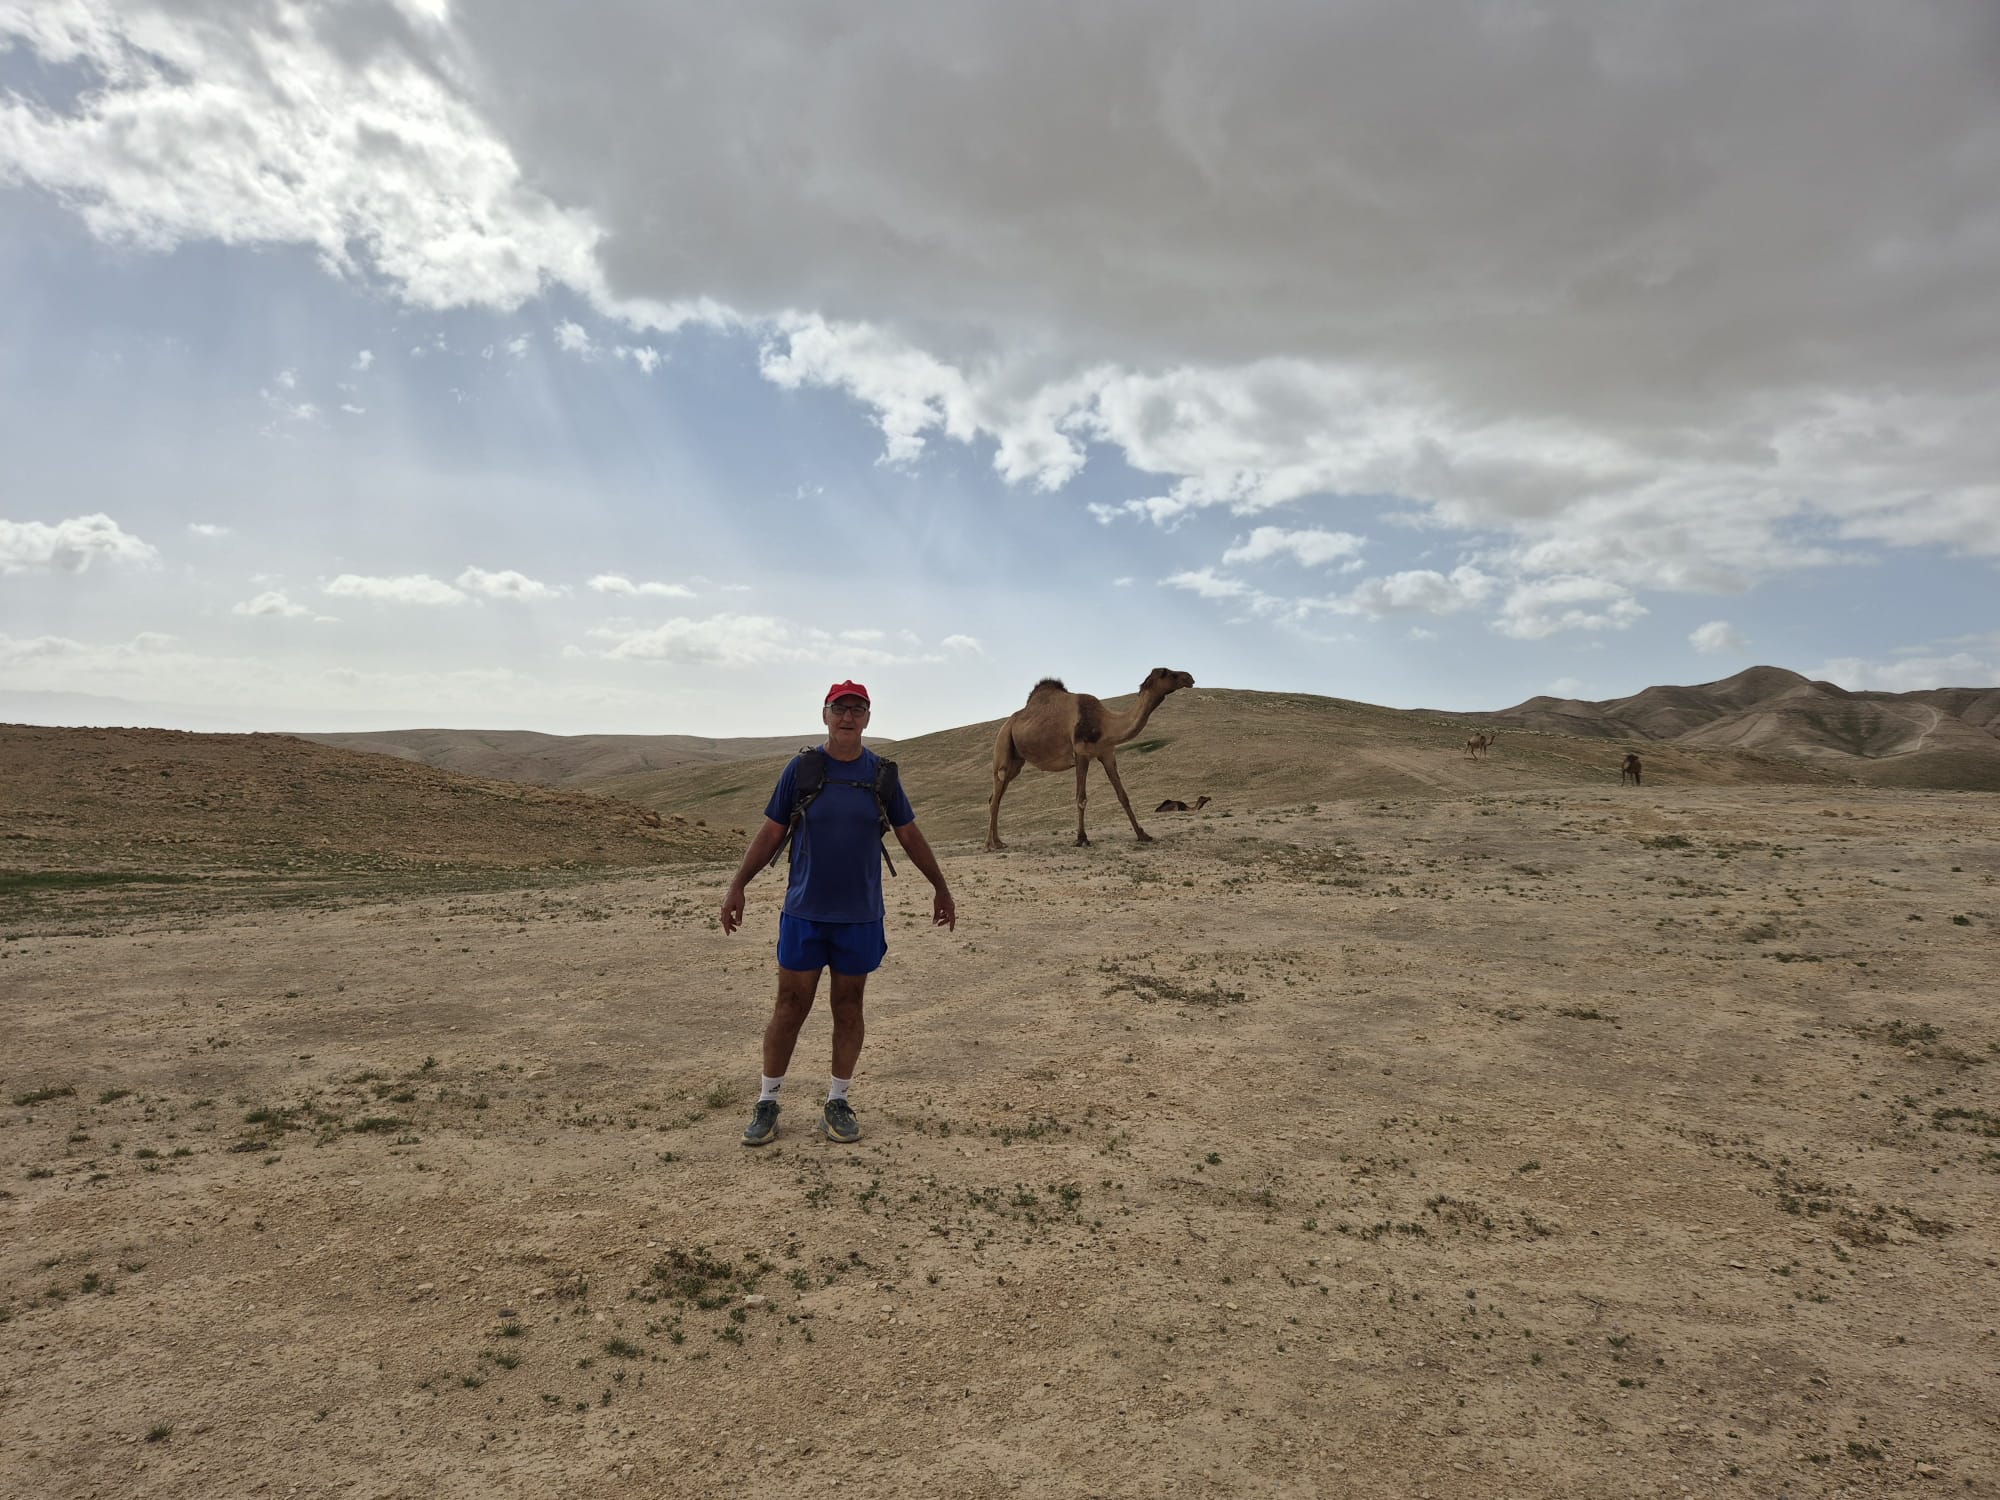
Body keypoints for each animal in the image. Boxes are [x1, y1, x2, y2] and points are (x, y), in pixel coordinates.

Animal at [986, 667, 1196, 850]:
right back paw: (992, 844)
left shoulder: (1107, 754)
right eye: (1167, 672)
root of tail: (1007, 723)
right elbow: (1081, 798)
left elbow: (1123, 796)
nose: (1189, 677)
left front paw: (1143, 835)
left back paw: (996, 841)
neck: (1105, 725)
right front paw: (1082, 839)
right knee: (996, 795)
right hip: (1002, 745)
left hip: (1016, 762)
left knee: (994, 798)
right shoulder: (1081, 753)